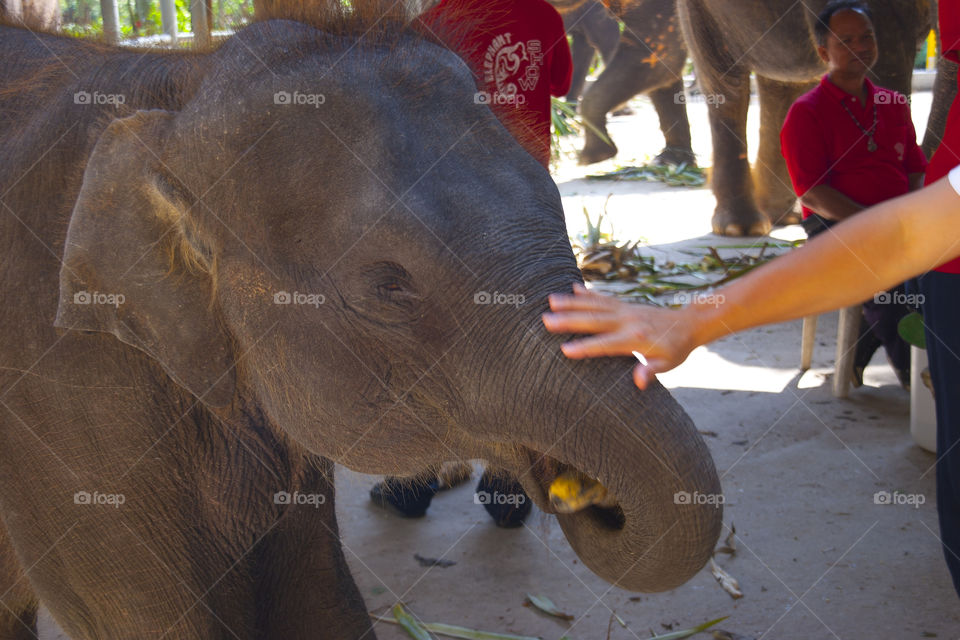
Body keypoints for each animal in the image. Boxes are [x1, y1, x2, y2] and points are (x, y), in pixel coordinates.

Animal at [680, 0, 932, 235]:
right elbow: (890, 51)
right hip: (703, 14)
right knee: (727, 88)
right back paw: (741, 228)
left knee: (782, 85)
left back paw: (784, 217)